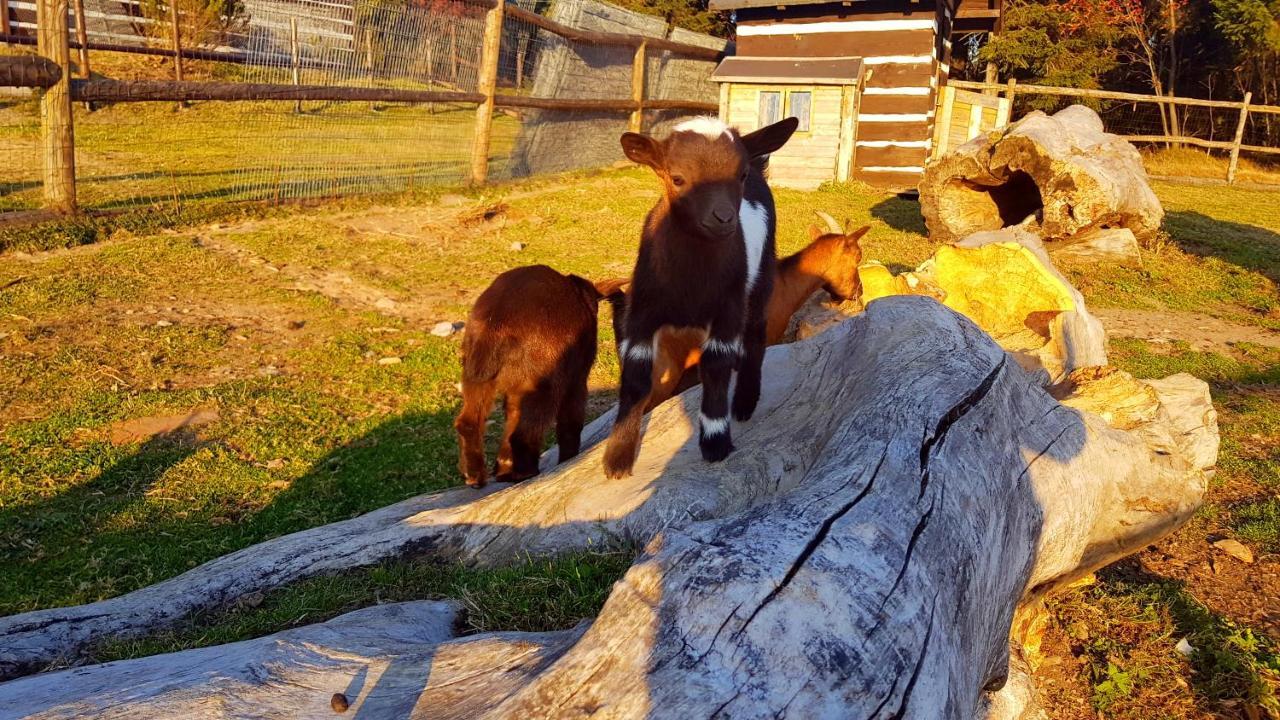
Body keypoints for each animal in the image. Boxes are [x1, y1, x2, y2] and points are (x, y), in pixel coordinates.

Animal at [455, 265, 624, 486]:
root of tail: (496, 323)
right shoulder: (576, 380)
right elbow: (570, 424)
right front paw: (568, 460)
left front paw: (503, 468)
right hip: (544, 385)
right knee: (522, 434)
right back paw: (525, 473)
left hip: (477, 376)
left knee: (469, 422)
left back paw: (476, 476)